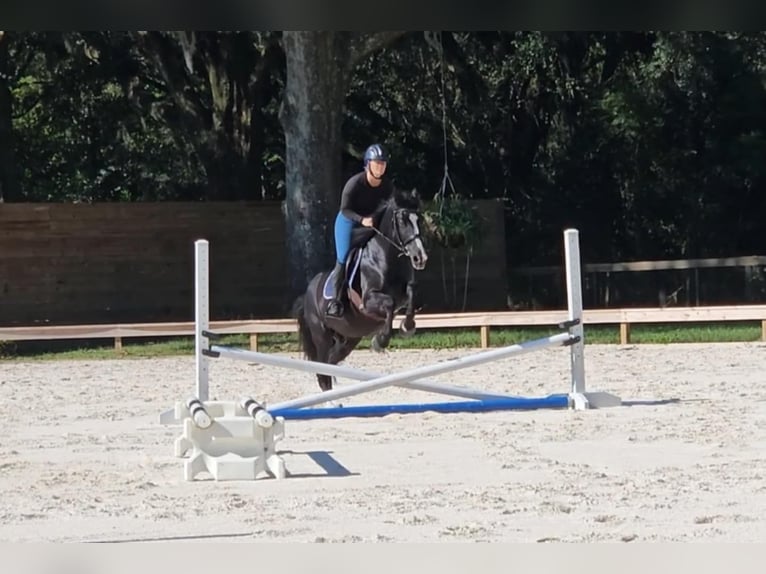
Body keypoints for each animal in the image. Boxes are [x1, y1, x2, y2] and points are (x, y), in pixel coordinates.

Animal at [292, 191, 428, 394]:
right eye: (403, 221)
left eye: (419, 219)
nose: (420, 258)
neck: (385, 258)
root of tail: (307, 293)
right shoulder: (368, 301)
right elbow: (389, 303)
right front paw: (380, 341)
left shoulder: (404, 295)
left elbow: (412, 293)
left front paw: (408, 326)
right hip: (321, 335)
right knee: (323, 371)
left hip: (349, 338)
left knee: (331, 363)